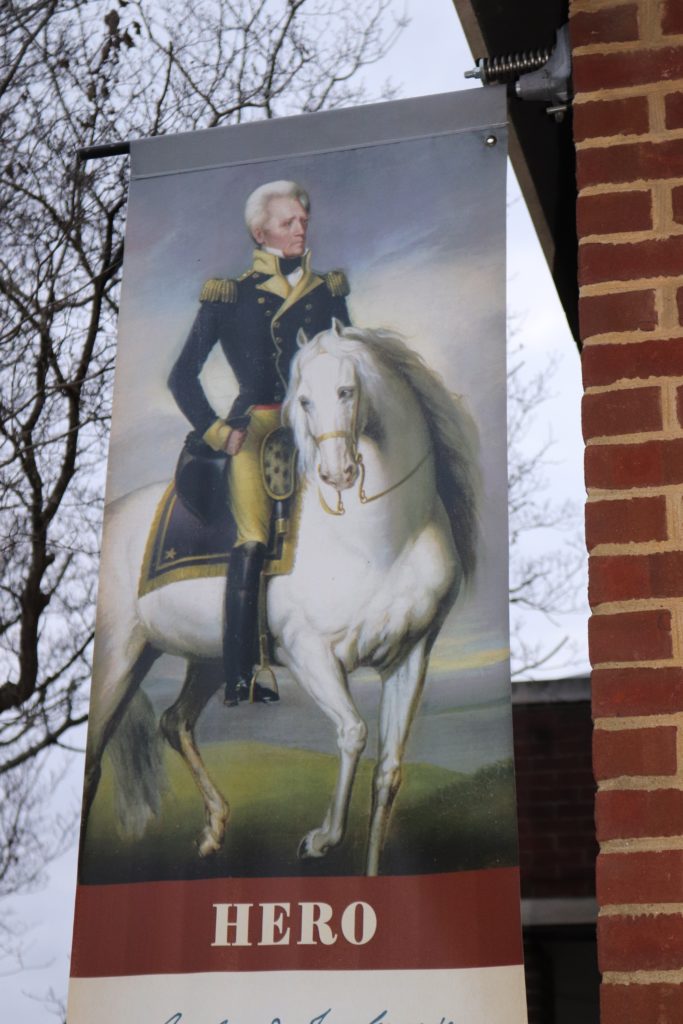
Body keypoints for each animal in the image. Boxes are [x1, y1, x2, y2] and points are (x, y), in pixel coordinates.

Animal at [83, 319, 481, 872]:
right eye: (304, 400)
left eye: (346, 391)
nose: (337, 474)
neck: (381, 537)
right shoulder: (310, 654)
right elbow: (354, 732)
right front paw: (321, 839)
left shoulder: (412, 656)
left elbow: (388, 774)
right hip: (118, 659)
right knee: (94, 763)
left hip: (212, 658)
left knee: (174, 721)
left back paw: (214, 828)